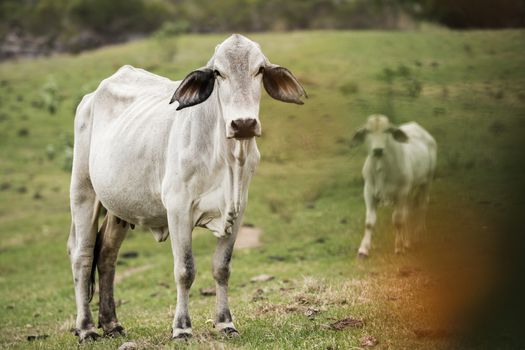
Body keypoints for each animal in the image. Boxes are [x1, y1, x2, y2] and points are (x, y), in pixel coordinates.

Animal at [67, 34, 304, 342]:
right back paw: (86, 328)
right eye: (218, 73)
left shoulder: (238, 210)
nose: (243, 124)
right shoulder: (178, 209)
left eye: (260, 70)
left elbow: (222, 267)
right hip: (83, 190)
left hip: (117, 207)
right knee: (82, 256)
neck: (228, 159)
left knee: (106, 255)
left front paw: (225, 323)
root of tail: (91, 96)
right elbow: (185, 270)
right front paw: (181, 327)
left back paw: (112, 324)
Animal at [350, 115, 436, 258]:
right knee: (408, 211)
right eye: (368, 131)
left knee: (422, 206)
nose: (378, 150)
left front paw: (399, 246)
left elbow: (397, 220)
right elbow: (369, 222)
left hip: (427, 180)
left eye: (387, 130)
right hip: (410, 189)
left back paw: (418, 234)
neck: (381, 168)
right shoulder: (368, 191)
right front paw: (363, 249)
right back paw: (407, 241)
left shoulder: (401, 192)